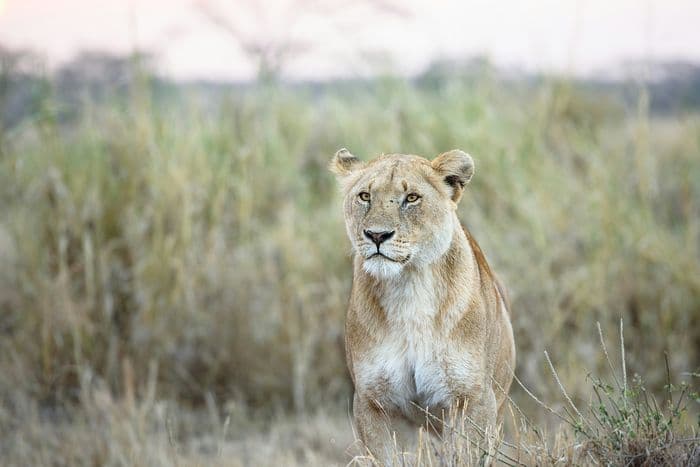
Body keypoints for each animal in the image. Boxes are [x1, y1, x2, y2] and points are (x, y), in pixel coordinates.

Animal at [330, 148, 515, 463]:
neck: (408, 287)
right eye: (365, 196)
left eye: (412, 198)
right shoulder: (372, 402)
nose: (376, 235)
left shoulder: (472, 399)